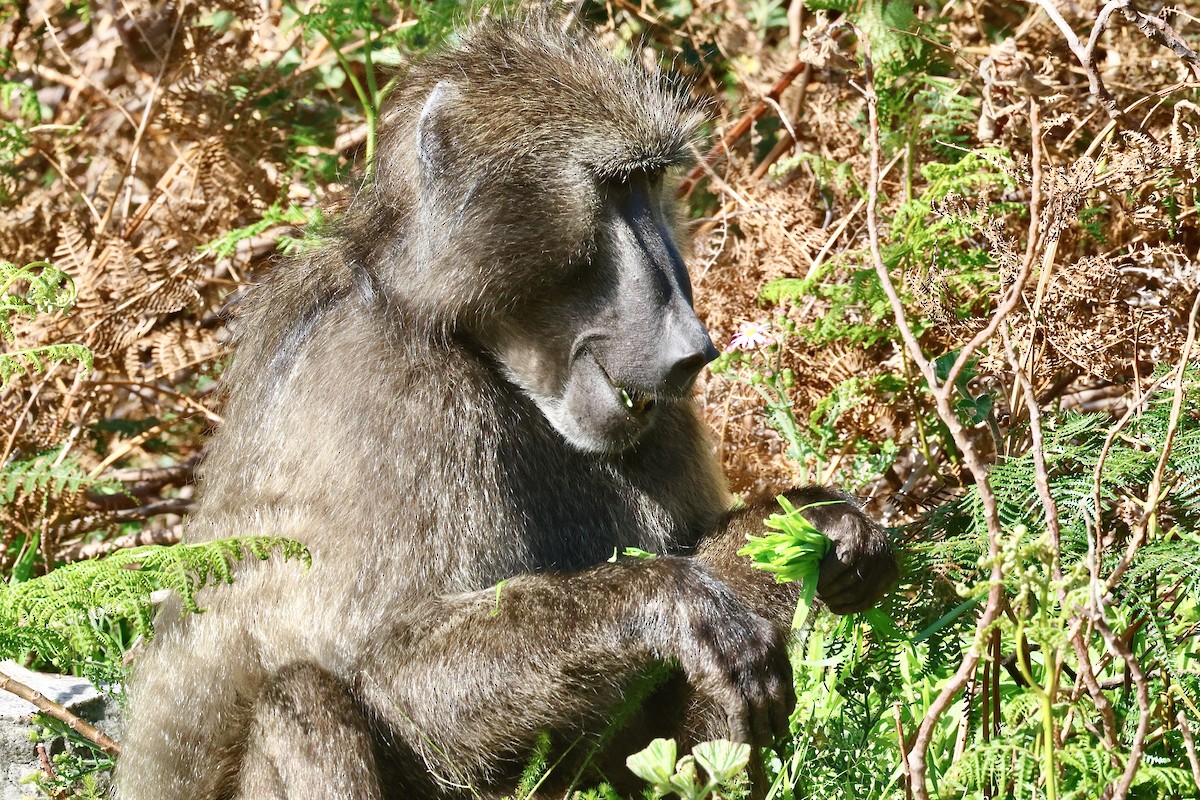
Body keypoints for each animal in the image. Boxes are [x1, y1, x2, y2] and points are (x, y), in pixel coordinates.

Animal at [113, 12, 897, 800]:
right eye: (614, 187)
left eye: (650, 184)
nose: (692, 349)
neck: (464, 340)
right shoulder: (394, 390)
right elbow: (392, 671)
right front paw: (672, 601)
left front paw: (818, 523)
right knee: (304, 702)